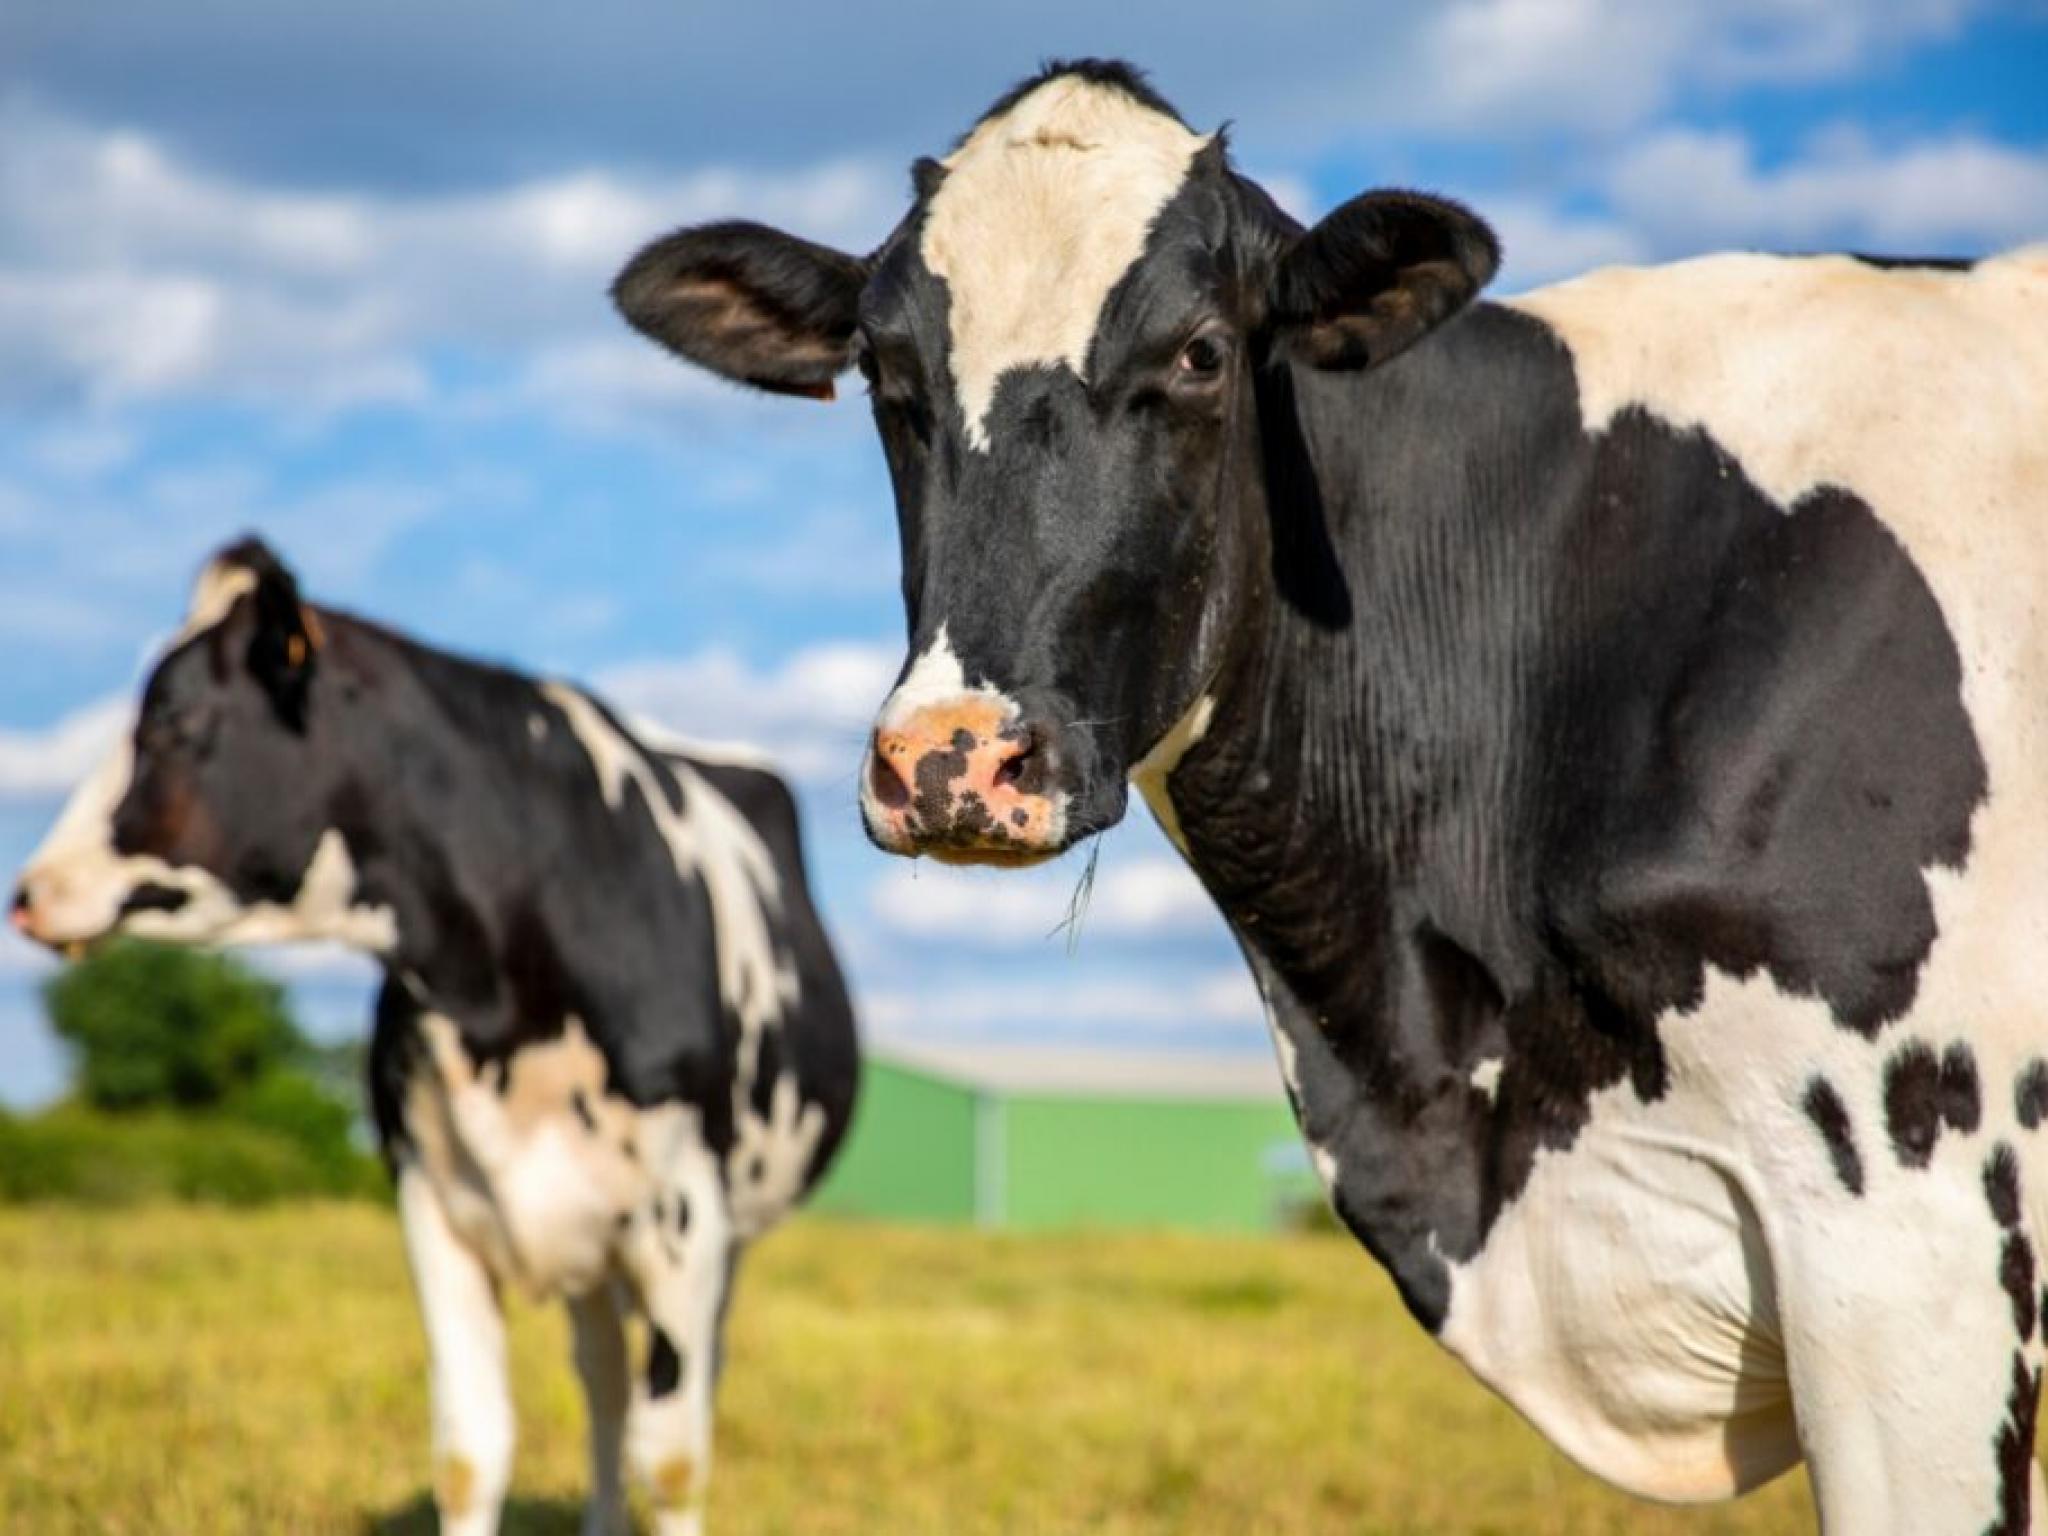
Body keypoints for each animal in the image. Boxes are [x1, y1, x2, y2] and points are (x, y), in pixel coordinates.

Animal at [9, 536, 856, 1536]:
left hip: (717, 1236)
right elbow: (469, 1452)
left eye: (174, 721)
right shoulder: (435, 1202)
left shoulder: (686, 1218)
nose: (28, 890)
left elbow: (675, 1460)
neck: (504, 985)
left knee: (678, 1390)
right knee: (603, 1380)